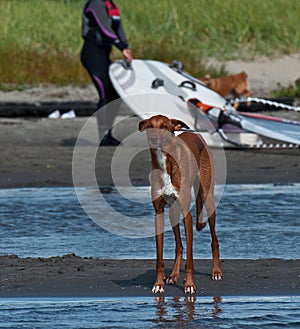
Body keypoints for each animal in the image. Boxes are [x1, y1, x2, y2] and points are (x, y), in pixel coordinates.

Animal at [139, 114, 221, 292]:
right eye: (149, 126)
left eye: (164, 126)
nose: (154, 138)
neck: (165, 164)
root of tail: (196, 135)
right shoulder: (158, 213)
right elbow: (160, 257)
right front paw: (159, 284)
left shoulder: (187, 214)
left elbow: (190, 259)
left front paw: (190, 285)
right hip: (173, 213)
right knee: (179, 246)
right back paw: (174, 275)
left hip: (208, 198)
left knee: (214, 241)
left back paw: (216, 271)